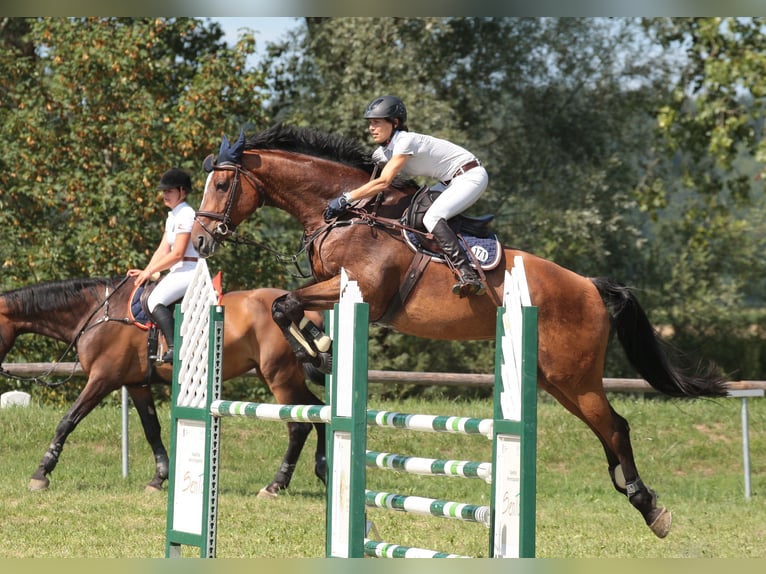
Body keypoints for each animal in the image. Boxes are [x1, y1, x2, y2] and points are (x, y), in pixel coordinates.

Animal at [0, 280, 328, 500]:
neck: (98, 314)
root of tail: (302, 309)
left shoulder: (102, 379)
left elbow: (67, 421)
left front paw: (42, 473)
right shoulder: (137, 384)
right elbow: (151, 429)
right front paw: (158, 478)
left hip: (279, 377)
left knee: (299, 426)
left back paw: (275, 485)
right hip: (281, 377)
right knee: (318, 414)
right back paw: (323, 470)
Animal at [194, 125, 732, 540]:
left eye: (220, 185)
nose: (198, 240)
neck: (349, 216)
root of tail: (591, 287)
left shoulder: (364, 290)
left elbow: (285, 303)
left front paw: (319, 352)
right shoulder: (330, 287)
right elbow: (286, 303)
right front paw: (320, 350)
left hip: (574, 375)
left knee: (616, 426)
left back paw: (650, 508)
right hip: (557, 380)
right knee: (608, 426)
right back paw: (631, 491)